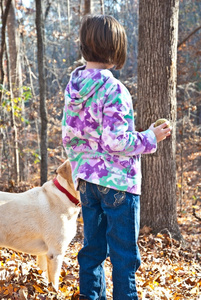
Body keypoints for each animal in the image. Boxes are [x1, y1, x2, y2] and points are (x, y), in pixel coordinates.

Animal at [0, 161, 80, 290]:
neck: (66, 195)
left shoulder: (43, 254)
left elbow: (44, 276)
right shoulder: (55, 253)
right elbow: (54, 281)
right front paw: (55, 292)